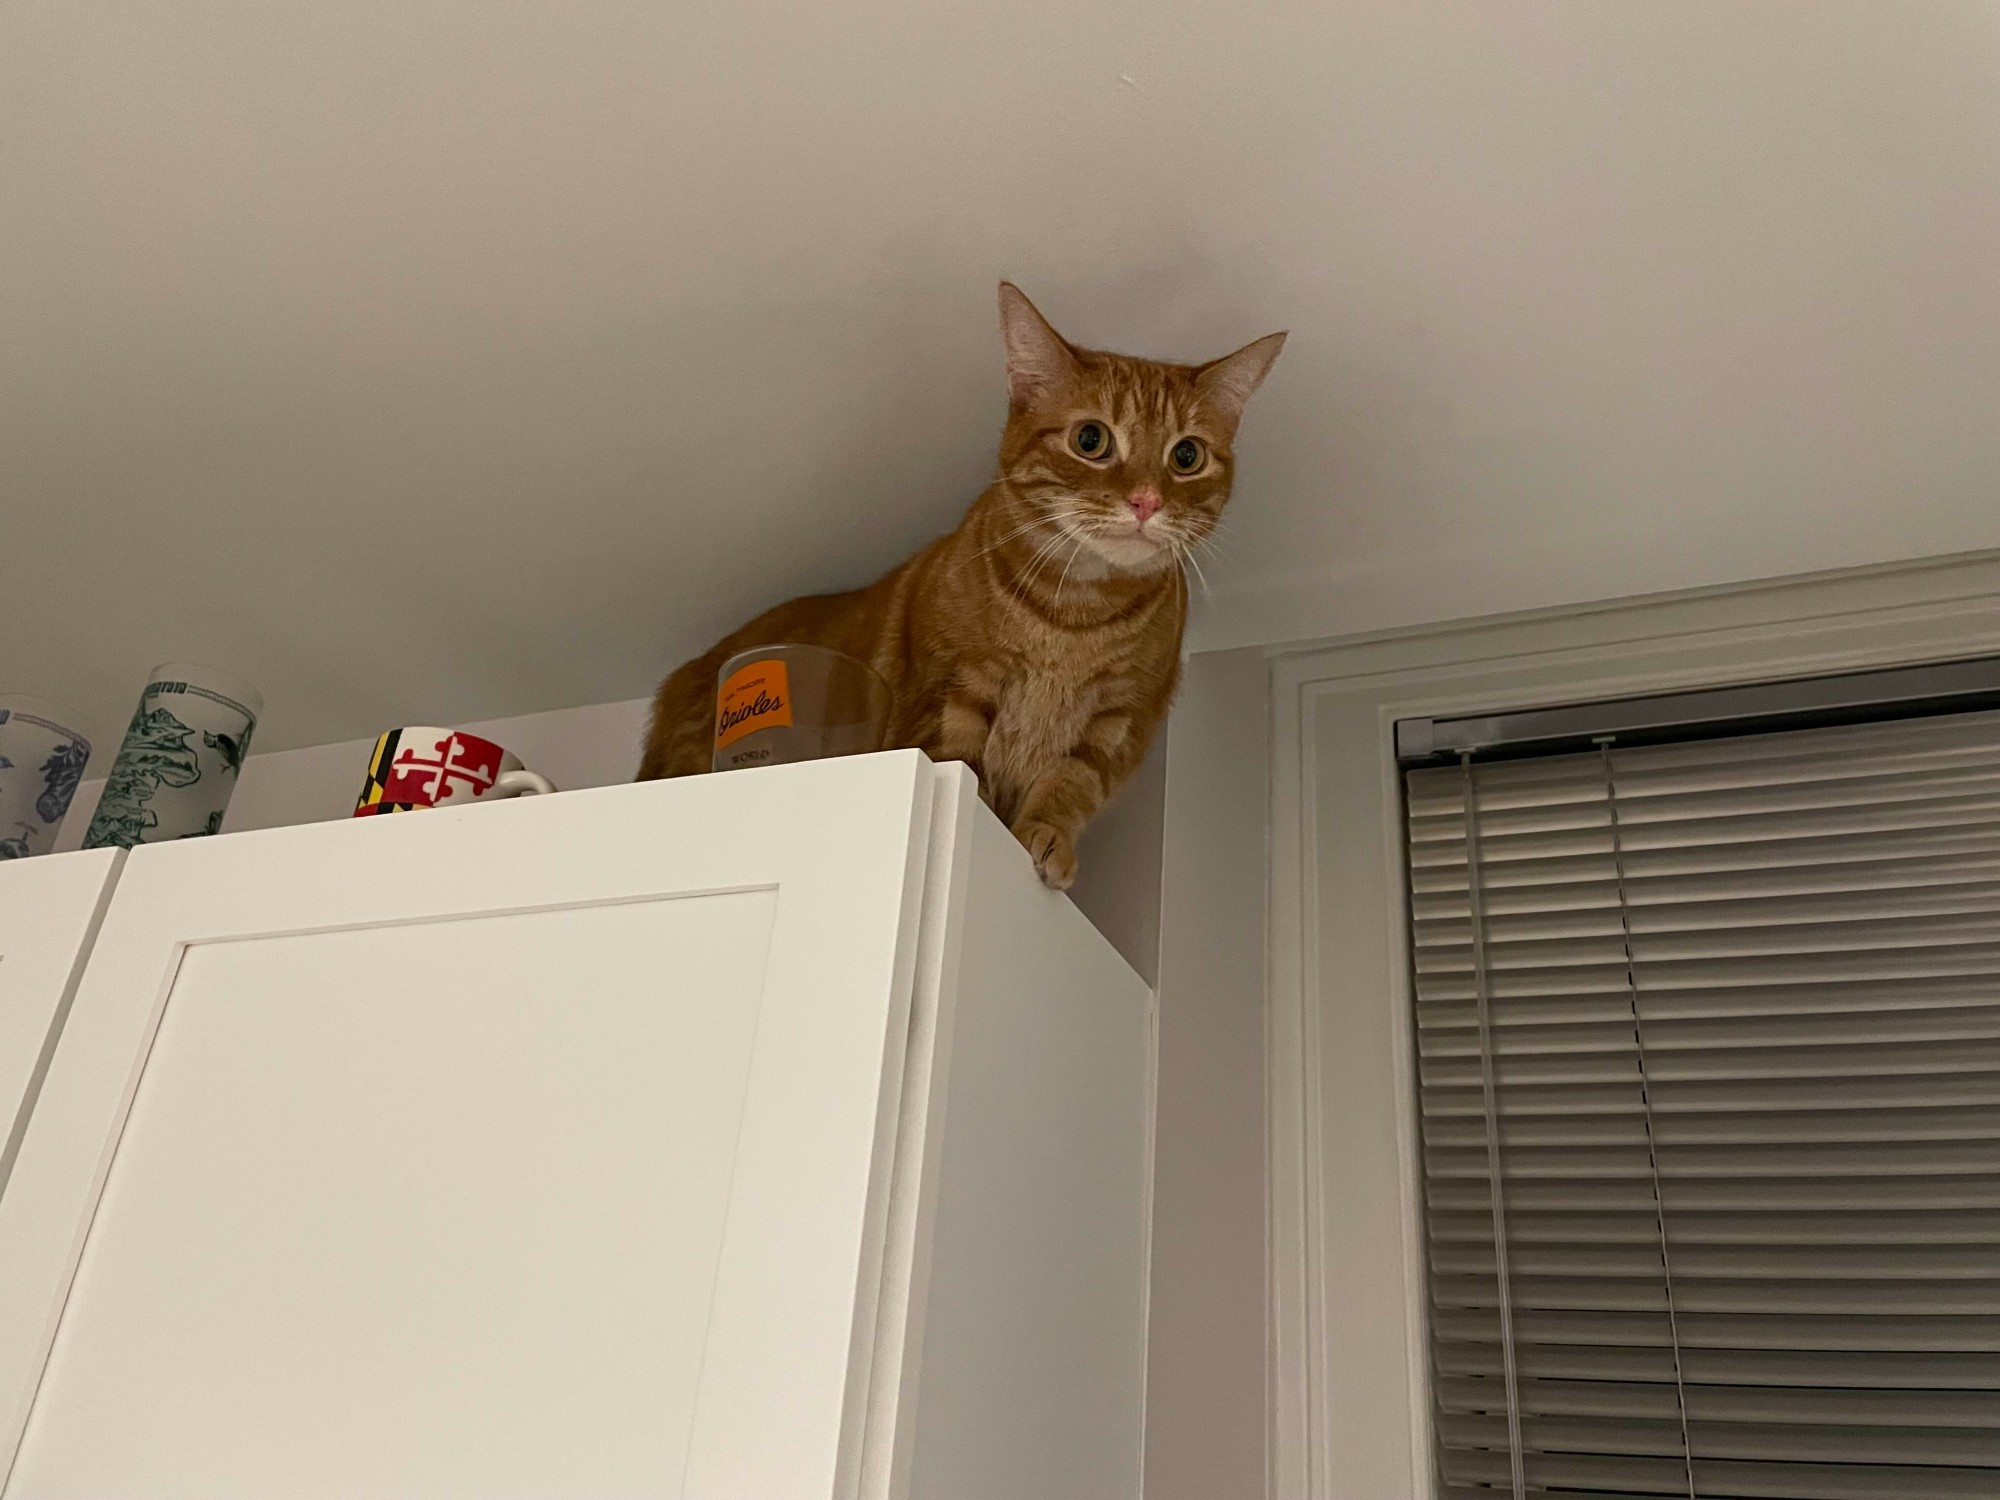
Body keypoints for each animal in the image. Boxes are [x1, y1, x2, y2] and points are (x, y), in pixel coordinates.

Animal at [644, 288, 1296, 888]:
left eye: (1186, 456)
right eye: (1091, 440)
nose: (1146, 501)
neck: (1076, 617)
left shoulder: (1116, 723)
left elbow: (1070, 786)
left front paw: (1048, 834)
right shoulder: (951, 691)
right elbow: (963, 758)